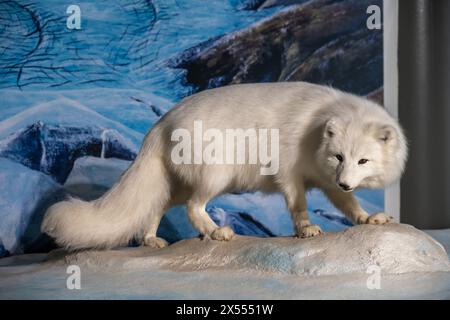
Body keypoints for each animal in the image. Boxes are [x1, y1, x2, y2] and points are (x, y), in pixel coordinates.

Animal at [41, 82, 408, 250]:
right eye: (339, 156)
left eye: (362, 160)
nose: (346, 180)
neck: (316, 131)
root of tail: (162, 121)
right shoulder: (290, 174)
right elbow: (299, 205)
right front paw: (306, 229)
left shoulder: (329, 182)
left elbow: (349, 205)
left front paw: (367, 218)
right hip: (216, 177)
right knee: (192, 207)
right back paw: (216, 232)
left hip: (180, 183)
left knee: (157, 206)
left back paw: (151, 240)